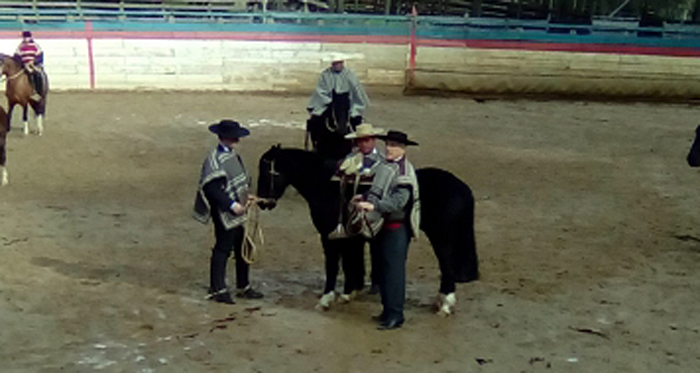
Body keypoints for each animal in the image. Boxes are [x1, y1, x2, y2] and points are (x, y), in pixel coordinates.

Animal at [258, 145, 482, 314]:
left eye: (267, 171)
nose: (262, 203)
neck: (326, 187)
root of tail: (462, 188)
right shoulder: (349, 238)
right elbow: (350, 263)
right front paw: (348, 293)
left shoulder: (329, 237)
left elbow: (333, 266)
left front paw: (326, 299)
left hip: (442, 239)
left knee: (447, 268)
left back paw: (444, 306)